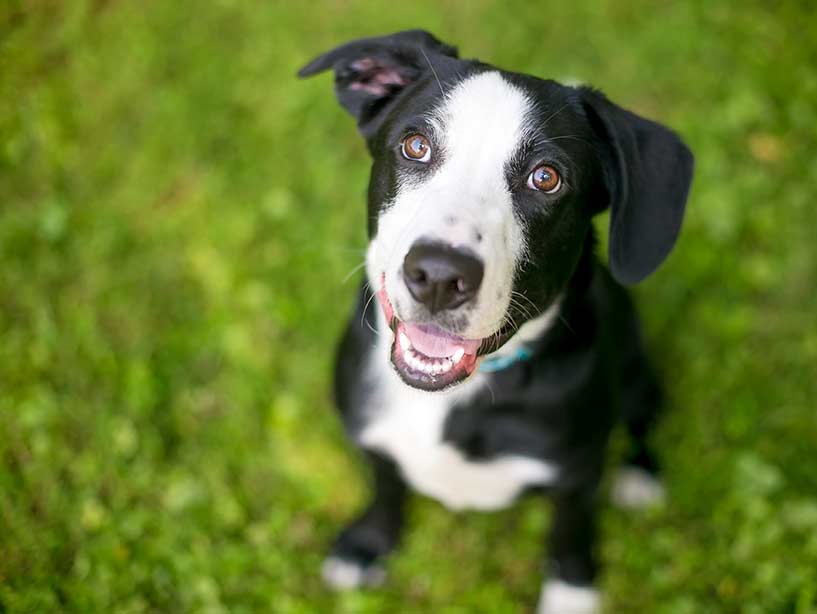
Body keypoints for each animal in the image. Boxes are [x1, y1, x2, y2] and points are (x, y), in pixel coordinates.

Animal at [296, 30, 692, 614]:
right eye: (415, 146)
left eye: (546, 178)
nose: (439, 275)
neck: (454, 398)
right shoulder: (372, 434)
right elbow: (386, 483)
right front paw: (368, 544)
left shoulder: (578, 474)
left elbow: (569, 534)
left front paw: (571, 595)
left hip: (641, 373)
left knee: (642, 423)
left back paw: (640, 476)